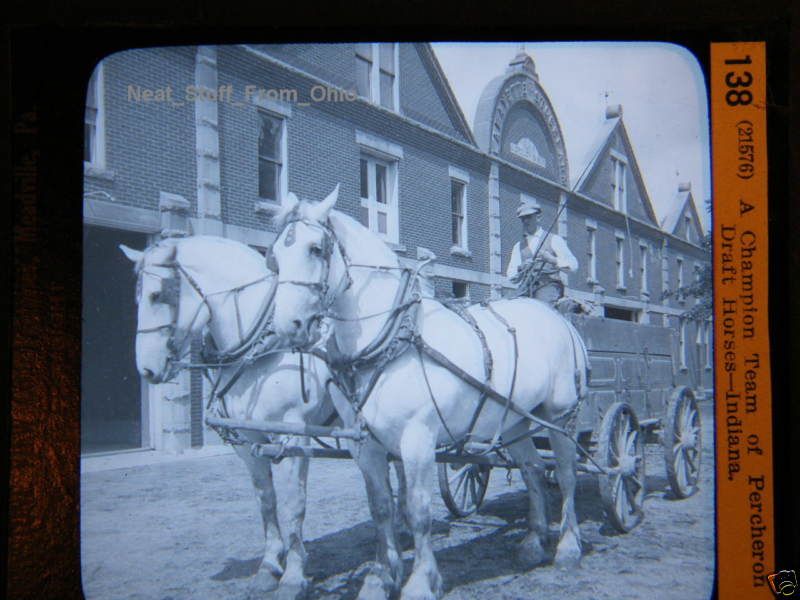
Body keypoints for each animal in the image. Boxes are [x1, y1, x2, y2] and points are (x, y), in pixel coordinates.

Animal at [119, 236, 332, 600]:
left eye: (156, 295)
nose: (146, 369)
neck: (265, 350)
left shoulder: (293, 437)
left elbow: (294, 504)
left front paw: (294, 576)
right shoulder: (248, 442)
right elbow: (267, 501)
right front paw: (269, 566)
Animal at [268, 188, 588, 600]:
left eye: (316, 249)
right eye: (275, 256)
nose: (285, 325)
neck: (390, 341)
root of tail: (561, 320)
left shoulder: (417, 438)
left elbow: (418, 511)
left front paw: (420, 580)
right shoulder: (365, 445)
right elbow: (382, 508)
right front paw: (380, 577)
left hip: (560, 415)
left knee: (565, 475)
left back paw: (568, 546)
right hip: (516, 420)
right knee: (533, 470)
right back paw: (533, 542)